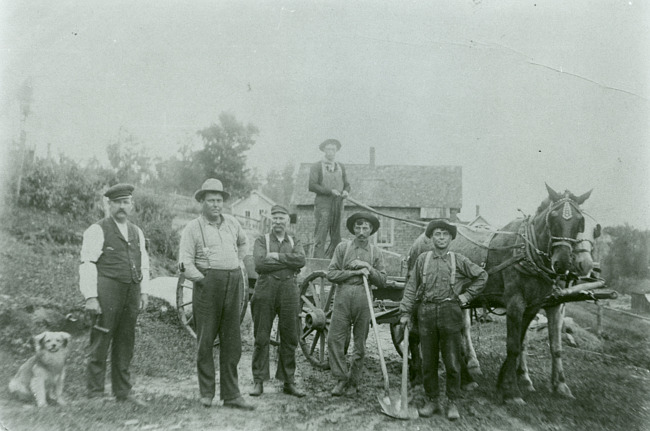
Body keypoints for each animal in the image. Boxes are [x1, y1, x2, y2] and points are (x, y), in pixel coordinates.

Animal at [456, 185, 592, 404]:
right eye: (553, 218)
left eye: (580, 221)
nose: (563, 263)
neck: (527, 253)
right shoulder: (515, 303)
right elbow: (513, 345)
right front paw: (512, 391)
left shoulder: (538, 305)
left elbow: (529, 343)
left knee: (461, 328)